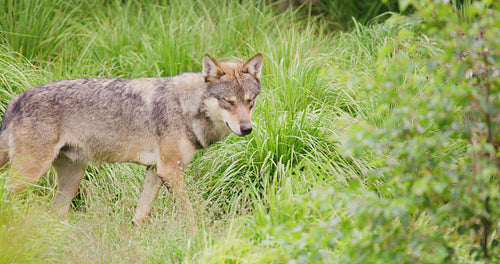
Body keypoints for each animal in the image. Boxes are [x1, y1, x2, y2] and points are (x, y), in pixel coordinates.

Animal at [0, 53, 264, 225]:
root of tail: (16, 100)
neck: (185, 107)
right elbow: (188, 214)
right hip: (30, 174)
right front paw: (198, 238)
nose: (247, 129)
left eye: (250, 101)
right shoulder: (170, 169)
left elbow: (140, 217)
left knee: (56, 214)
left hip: (72, 177)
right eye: (228, 101)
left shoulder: (156, 170)